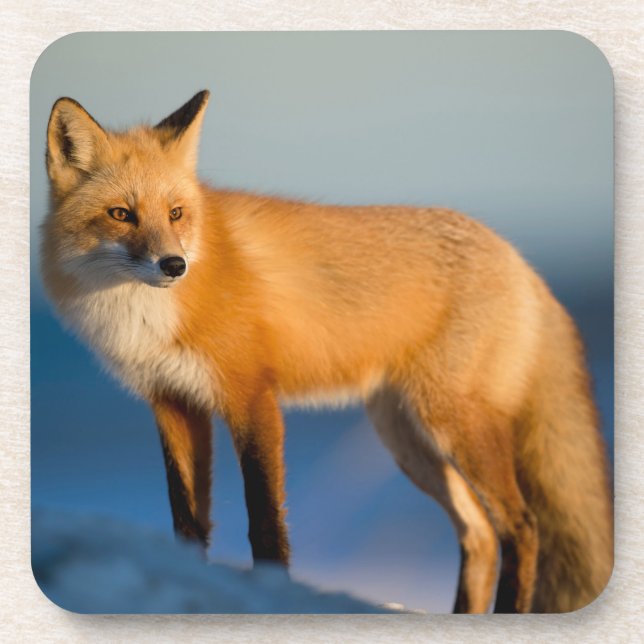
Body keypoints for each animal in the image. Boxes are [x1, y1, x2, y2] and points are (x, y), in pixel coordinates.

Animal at [40, 90, 613, 613]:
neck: (145, 315)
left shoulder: (252, 398)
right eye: (121, 214)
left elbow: (264, 520)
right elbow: (187, 520)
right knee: (481, 535)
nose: (174, 265)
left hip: (453, 425)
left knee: (522, 527)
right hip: (410, 442)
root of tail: (520, 261)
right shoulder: (173, 403)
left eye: (176, 213)